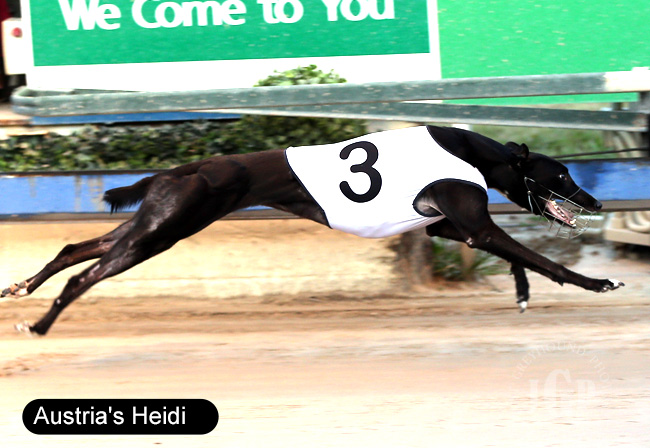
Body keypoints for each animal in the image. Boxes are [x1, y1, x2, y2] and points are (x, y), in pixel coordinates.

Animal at [2, 125, 623, 335]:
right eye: (563, 174)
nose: (595, 200)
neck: (471, 149)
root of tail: (178, 171)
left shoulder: (448, 228)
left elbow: (519, 258)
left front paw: (520, 295)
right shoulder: (470, 222)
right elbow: (543, 259)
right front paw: (597, 284)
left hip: (151, 223)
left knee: (74, 248)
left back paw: (22, 289)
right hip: (161, 232)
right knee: (84, 276)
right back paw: (41, 322)